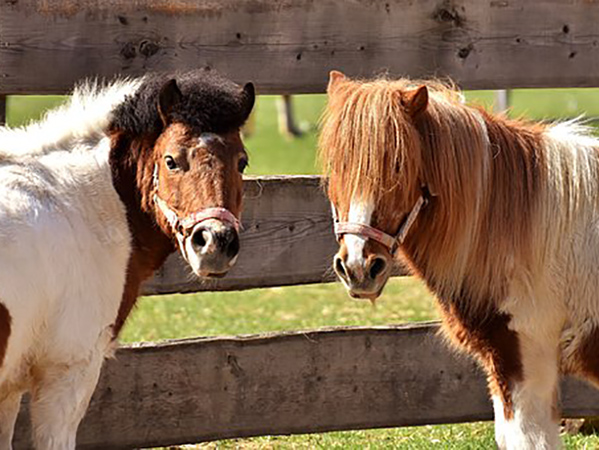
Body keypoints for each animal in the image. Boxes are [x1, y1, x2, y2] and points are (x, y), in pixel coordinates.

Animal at [0, 72, 255, 448]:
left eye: (242, 162)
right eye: (171, 160)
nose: (215, 242)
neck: (75, 204)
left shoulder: (11, 385)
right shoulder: (66, 373)